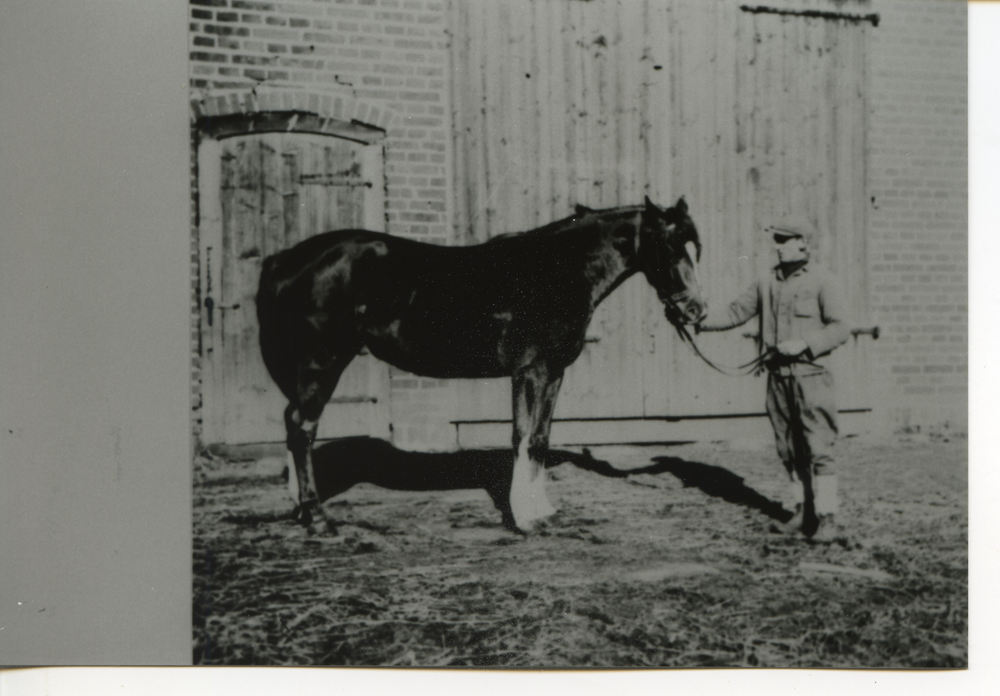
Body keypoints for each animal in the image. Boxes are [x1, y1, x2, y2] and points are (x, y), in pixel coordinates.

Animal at [260, 196, 712, 532]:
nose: (696, 311)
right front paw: (526, 518)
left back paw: (299, 507)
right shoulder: (531, 372)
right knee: (302, 429)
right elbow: (524, 439)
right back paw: (318, 517)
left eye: (696, 248)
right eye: (670, 246)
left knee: (291, 423)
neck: (556, 272)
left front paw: (542, 511)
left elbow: (539, 438)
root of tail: (285, 259)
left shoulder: (553, 373)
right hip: (321, 364)